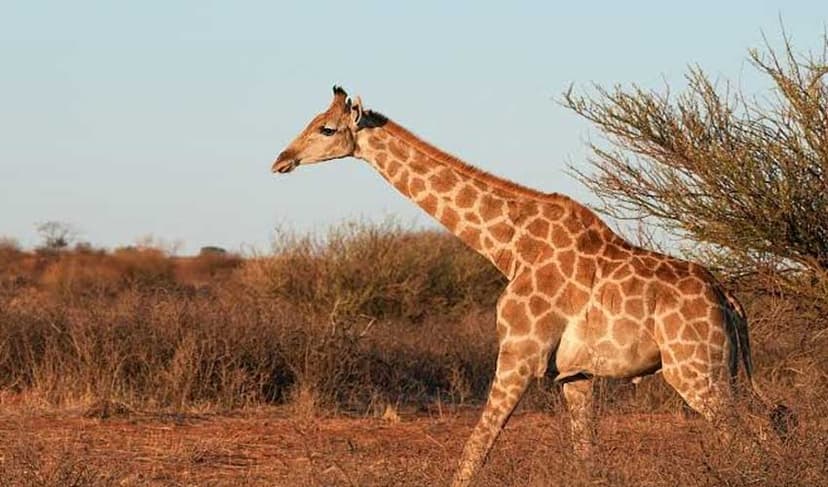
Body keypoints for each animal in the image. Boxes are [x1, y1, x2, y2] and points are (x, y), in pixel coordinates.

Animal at [271, 87, 790, 486]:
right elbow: (586, 461)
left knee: (753, 436)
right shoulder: (576, 375)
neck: (508, 245)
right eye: (312, 122)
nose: (281, 160)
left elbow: (475, 451)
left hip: (695, 370)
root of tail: (729, 299)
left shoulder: (519, 353)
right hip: (721, 369)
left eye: (326, 129)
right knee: (771, 423)